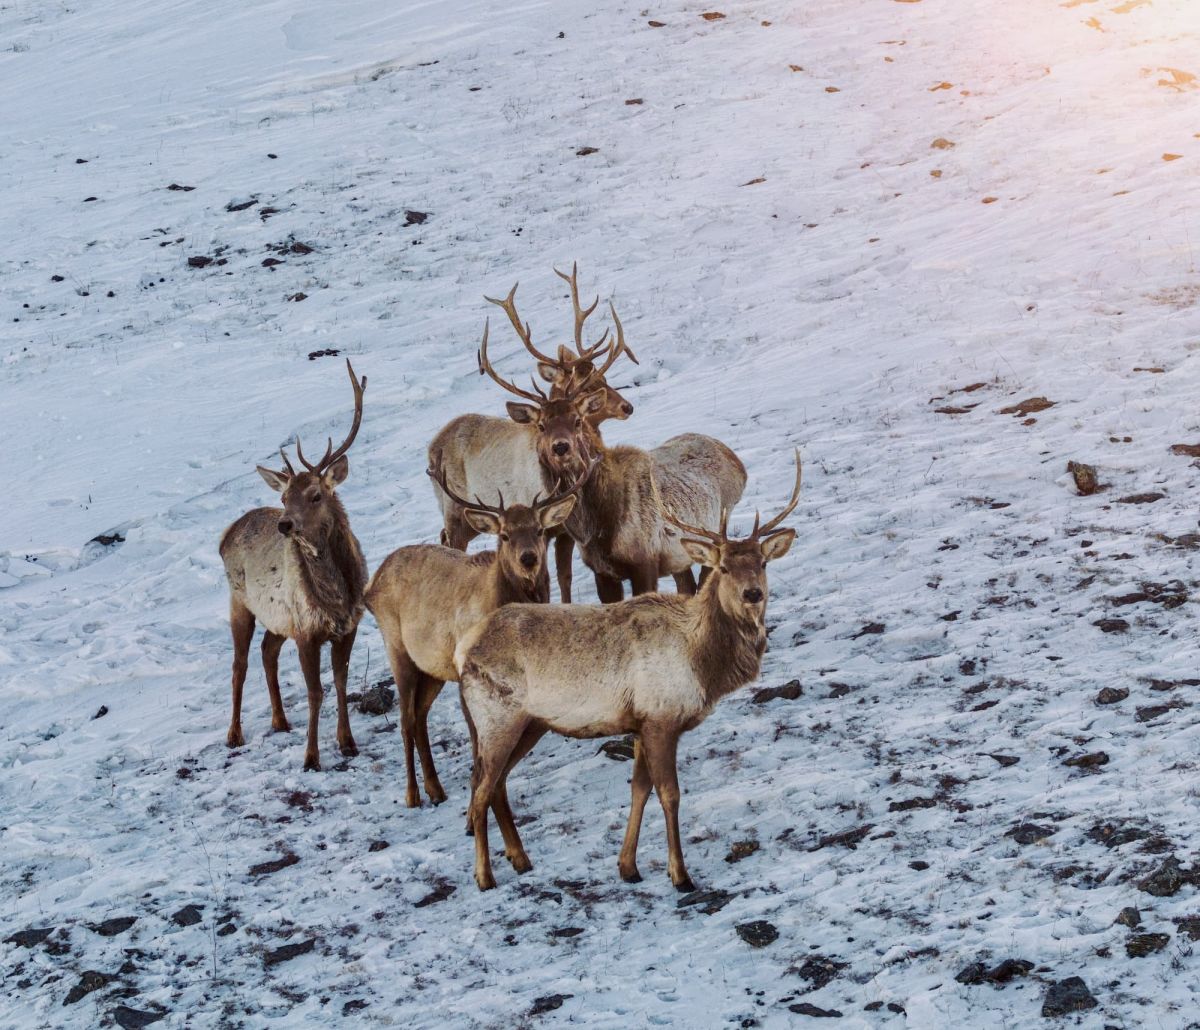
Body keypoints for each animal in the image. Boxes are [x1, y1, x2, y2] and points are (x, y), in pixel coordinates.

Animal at [220, 357, 367, 768]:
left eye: (316, 494)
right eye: (285, 497)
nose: (284, 524)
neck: (336, 596)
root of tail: (225, 534)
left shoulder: (348, 626)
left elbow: (341, 681)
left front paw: (348, 743)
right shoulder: (307, 631)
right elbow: (316, 692)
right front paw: (312, 757)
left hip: (278, 617)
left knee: (267, 650)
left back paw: (280, 720)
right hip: (239, 602)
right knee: (239, 664)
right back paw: (234, 734)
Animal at [364, 460, 590, 806]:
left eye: (539, 530)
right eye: (505, 535)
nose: (528, 558)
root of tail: (370, 586)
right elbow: (474, 731)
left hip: (432, 668)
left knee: (419, 716)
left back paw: (435, 789)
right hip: (397, 648)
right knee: (405, 721)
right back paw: (413, 795)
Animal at [429, 265, 638, 602]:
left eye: (576, 419)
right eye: (541, 425)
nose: (561, 447)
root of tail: (432, 444)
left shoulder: (564, 531)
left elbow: (564, 577)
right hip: (454, 508)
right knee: (450, 541)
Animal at [453, 453, 801, 888]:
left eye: (763, 562)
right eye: (722, 567)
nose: (753, 594)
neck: (702, 664)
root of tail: (463, 650)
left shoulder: (639, 722)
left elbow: (639, 790)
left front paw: (628, 867)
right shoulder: (660, 717)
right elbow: (670, 794)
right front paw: (679, 874)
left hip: (530, 723)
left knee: (496, 783)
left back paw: (520, 859)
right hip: (497, 718)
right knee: (482, 786)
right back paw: (485, 875)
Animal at [480, 316, 744, 597]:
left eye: (577, 420)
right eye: (541, 425)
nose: (561, 447)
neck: (596, 525)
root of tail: (736, 461)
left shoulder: (645, 561)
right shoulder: (601, 570)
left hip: (713, 533)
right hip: (680, 558)